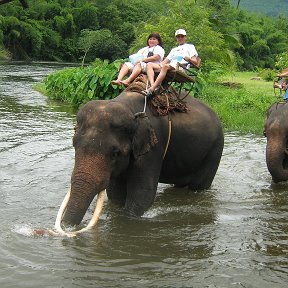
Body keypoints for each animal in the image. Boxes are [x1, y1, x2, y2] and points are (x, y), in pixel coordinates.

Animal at [55, 75, 224, 235]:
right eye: (74, 145)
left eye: (114, 153)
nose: (68, 228)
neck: (126, 106)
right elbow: (115, 192)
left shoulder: (154, 144)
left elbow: (142, 192)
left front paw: (128, 221)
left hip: (215, 150)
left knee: (199, 186)